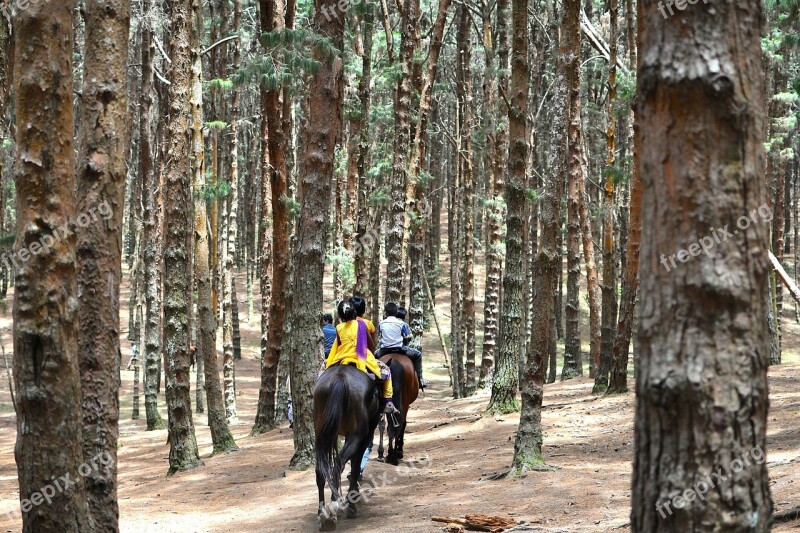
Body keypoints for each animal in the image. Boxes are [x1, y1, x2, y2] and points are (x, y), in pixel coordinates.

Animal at [312, 362, 382, 528]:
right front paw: (352, 502)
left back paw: (322, 513)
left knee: (321, 469)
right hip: (356, 435)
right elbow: (356, 465)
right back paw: (333, 510)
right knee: (338, 465)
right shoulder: (365, 436)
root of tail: (340, 376)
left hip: (320, 433)